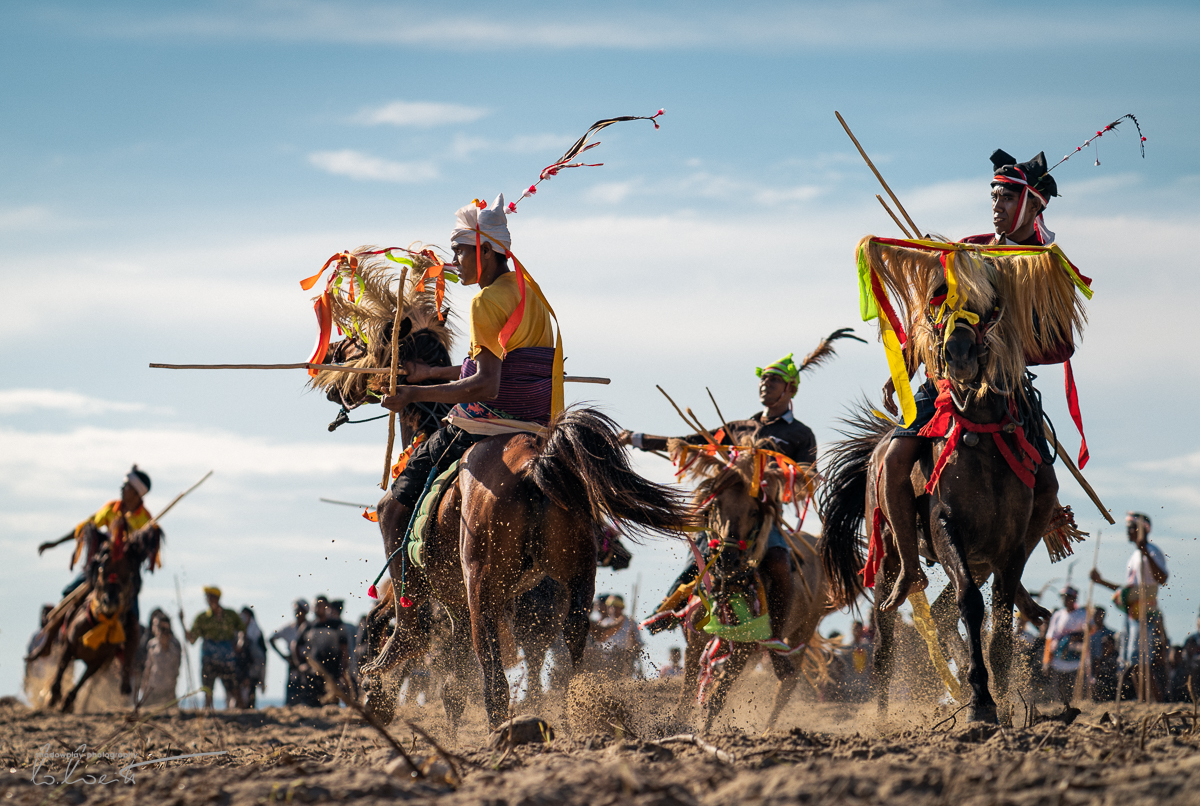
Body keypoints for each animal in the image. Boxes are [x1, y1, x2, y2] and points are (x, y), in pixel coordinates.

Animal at [44, 525, 163, 714]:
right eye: (102, 568)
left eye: (128, 572)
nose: (110, 600)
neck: (101, 624)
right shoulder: (68, 645)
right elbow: (60, 671)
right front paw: (53, 697)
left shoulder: (99, 662)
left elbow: (83, 682)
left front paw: (67, 702)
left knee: (92, 685)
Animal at [360, 410, 691, 729]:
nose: (623, 556)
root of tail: (533, 465)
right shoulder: (460, 607)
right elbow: (454, 689)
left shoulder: (453, 602)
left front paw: (377, 692)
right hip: (576, 580)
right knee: (572, 642)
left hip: (483, 594)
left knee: (492, 677)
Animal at [667, 436, 835, 734]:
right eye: (717, 505)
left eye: (755, 511)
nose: (727, 557)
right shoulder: (697, 641)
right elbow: (688, 695)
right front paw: (674, 726)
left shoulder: (744, 649)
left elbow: (718, 696)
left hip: (801, 632)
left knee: (786, 684)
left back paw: (768, 730)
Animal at [820, 239, 1084, 724]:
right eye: (938, 300)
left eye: (989, 305)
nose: (959, 355)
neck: (981, 434)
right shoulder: (947, 528)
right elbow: (970, 604)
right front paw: (981, 699)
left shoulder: (1009, 545)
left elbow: (1001, 614)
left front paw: (999, 696)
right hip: (890, 557)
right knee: (886, 641)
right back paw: (885, 718)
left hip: (979, 558)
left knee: (943, 616)